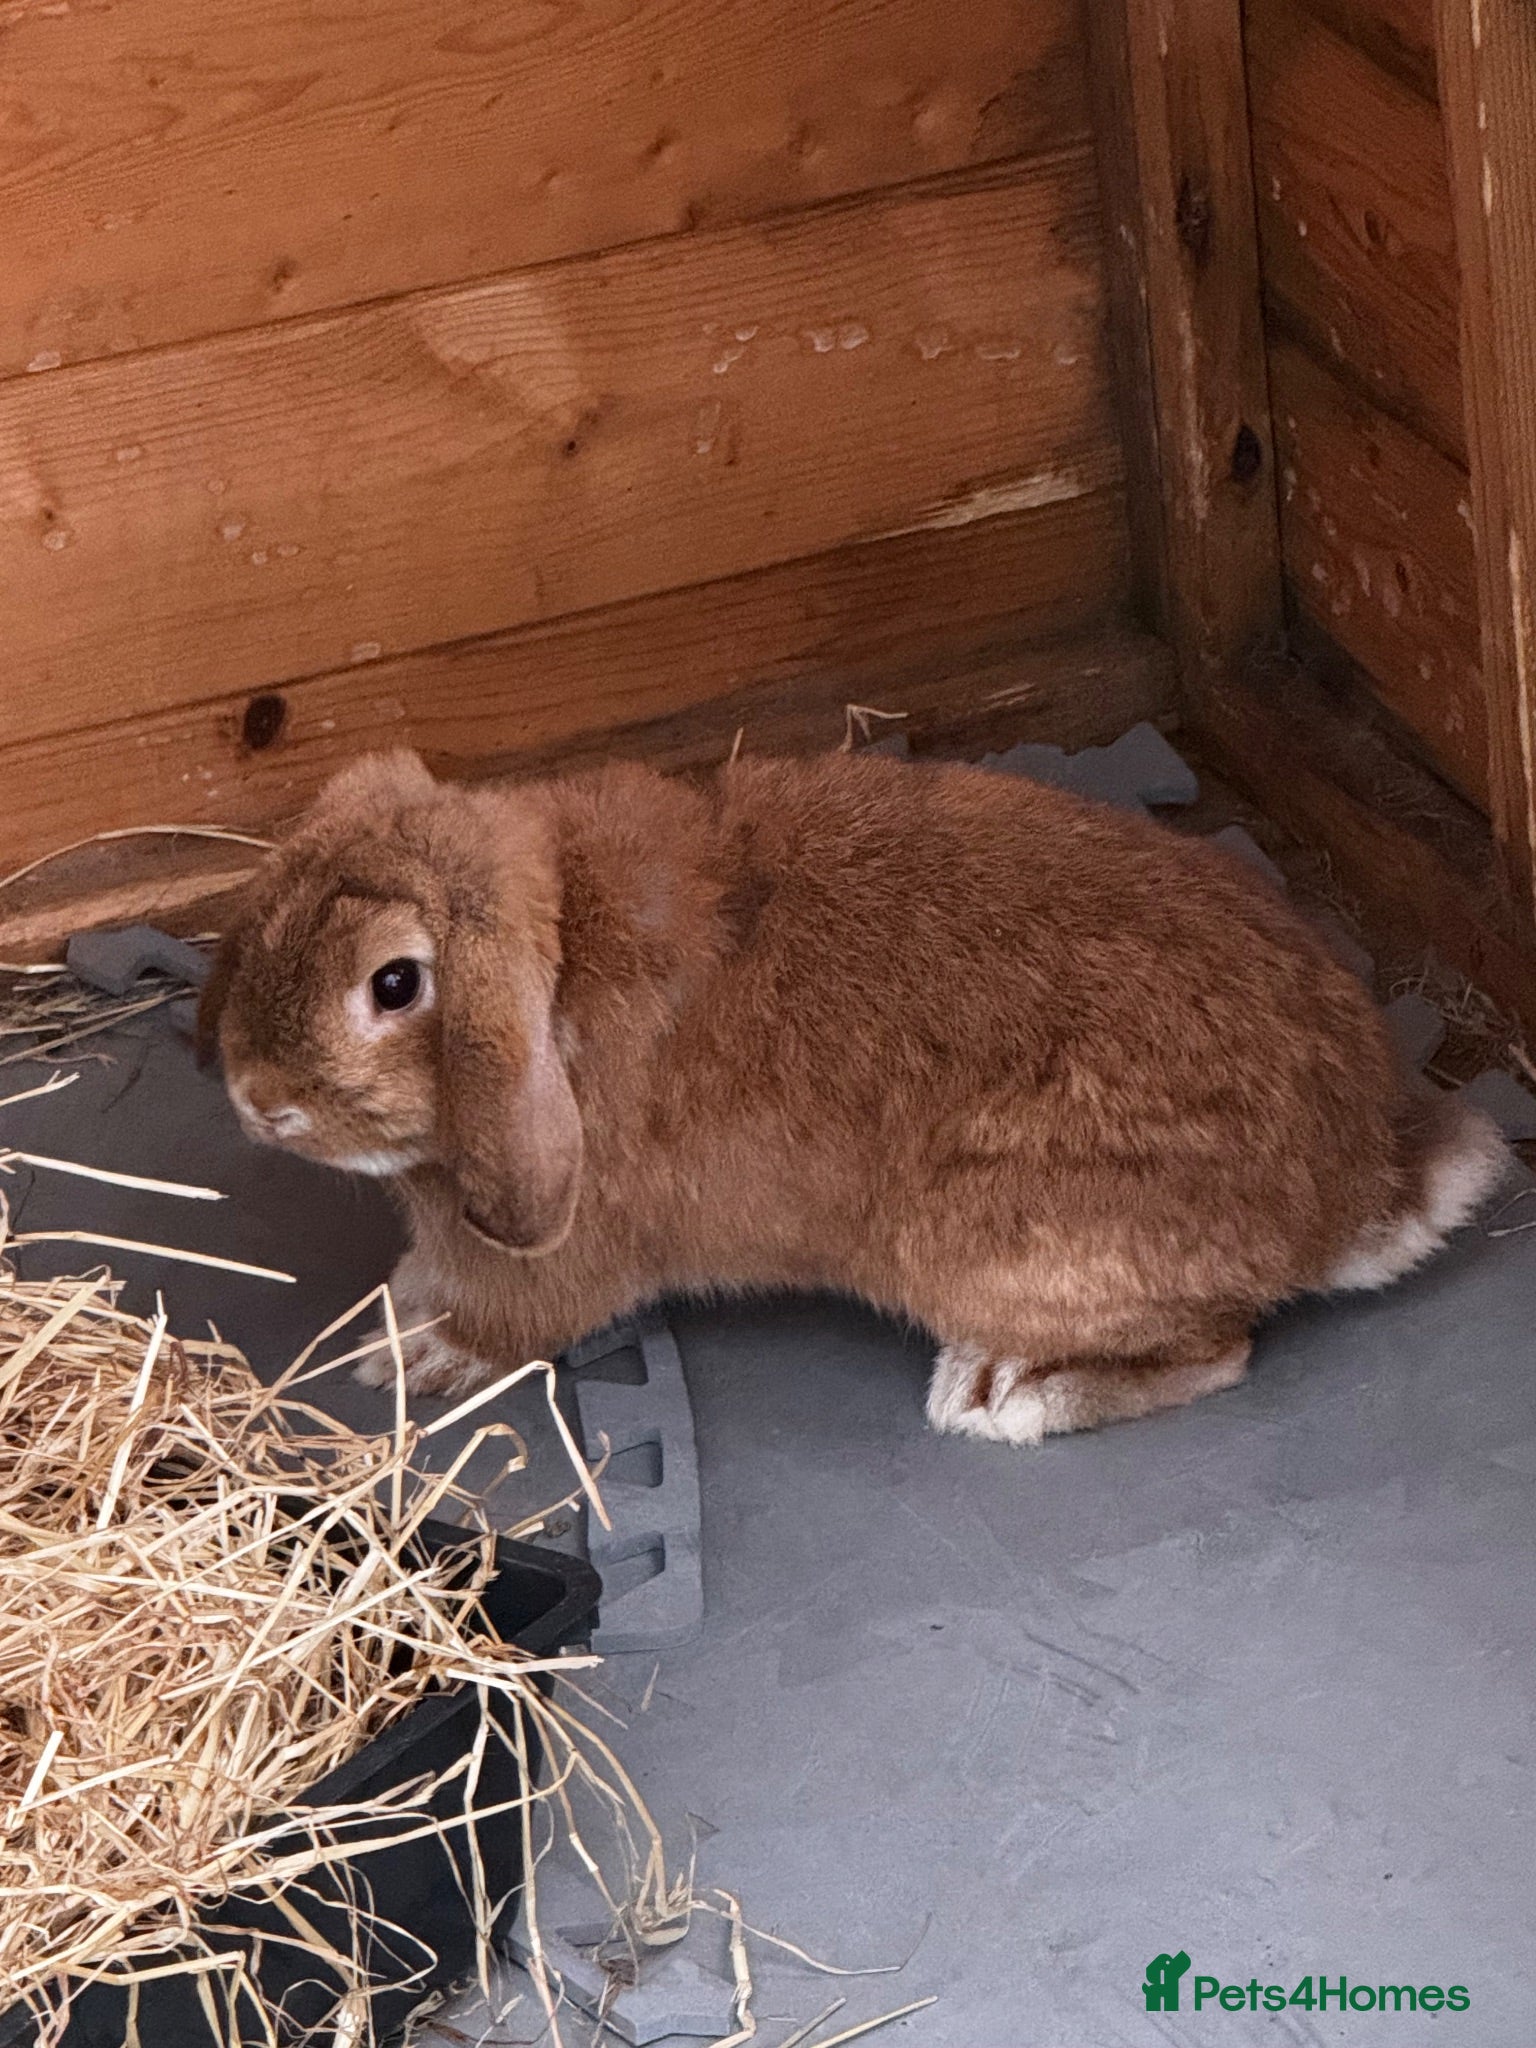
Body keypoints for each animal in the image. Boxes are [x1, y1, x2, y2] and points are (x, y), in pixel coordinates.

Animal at [200, 746, 1508, 1445]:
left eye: (395, 981)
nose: (256, 1096)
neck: (560, 949)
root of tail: (1361, 1189)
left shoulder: (562, 1247)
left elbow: (511, 1313)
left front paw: (411, 1359)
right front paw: (391, 1315)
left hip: (993, 1240)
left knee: (1221, 1348)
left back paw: (1007, 1391)